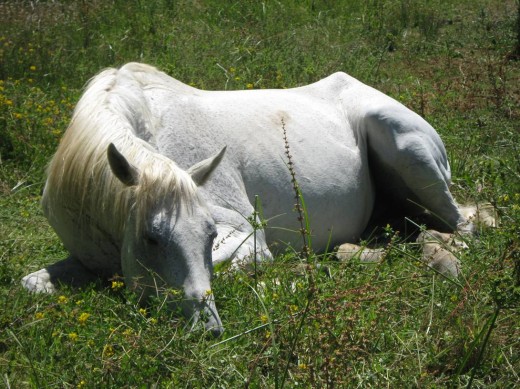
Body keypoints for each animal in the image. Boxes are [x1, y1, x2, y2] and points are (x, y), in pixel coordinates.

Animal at [21, 62, 492, 334]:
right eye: (151, 239)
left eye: (210, 235)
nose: (207, 330)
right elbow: (30, 284)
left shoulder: (246, 234)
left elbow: (234, 269)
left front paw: (291, 276)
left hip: (413, 157)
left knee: (464, 225)